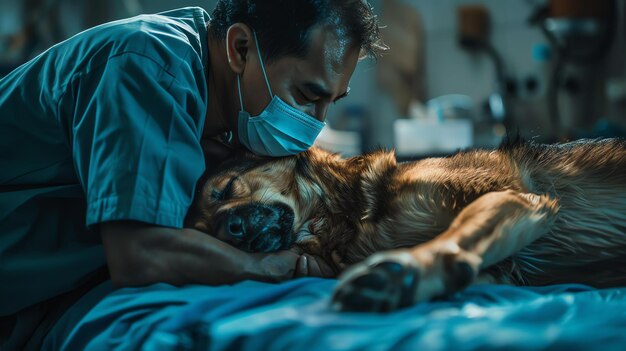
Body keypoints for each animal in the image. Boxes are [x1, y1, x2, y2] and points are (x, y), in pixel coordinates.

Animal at [185, 138, 624, 314]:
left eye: (226, 189)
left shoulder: (514, 197)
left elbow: (452, 239)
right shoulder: (503, 270)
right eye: (202, 231)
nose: (229, 230)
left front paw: (401, 274)